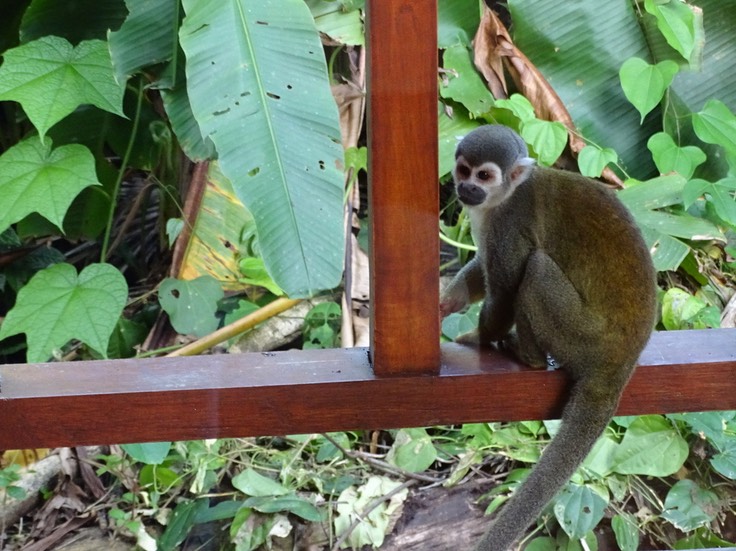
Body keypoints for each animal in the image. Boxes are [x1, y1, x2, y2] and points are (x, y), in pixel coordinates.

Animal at [439, 125, 657, 551]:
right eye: (464, 169)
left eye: (484, 176)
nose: (466, 188)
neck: (506, 196)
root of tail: (623, 359)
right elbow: (482, 273)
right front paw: (446, 301)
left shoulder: (509, 224)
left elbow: (505, 288)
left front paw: (478, 337)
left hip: (583, 336)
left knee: (536, 268)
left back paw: (530, 357)